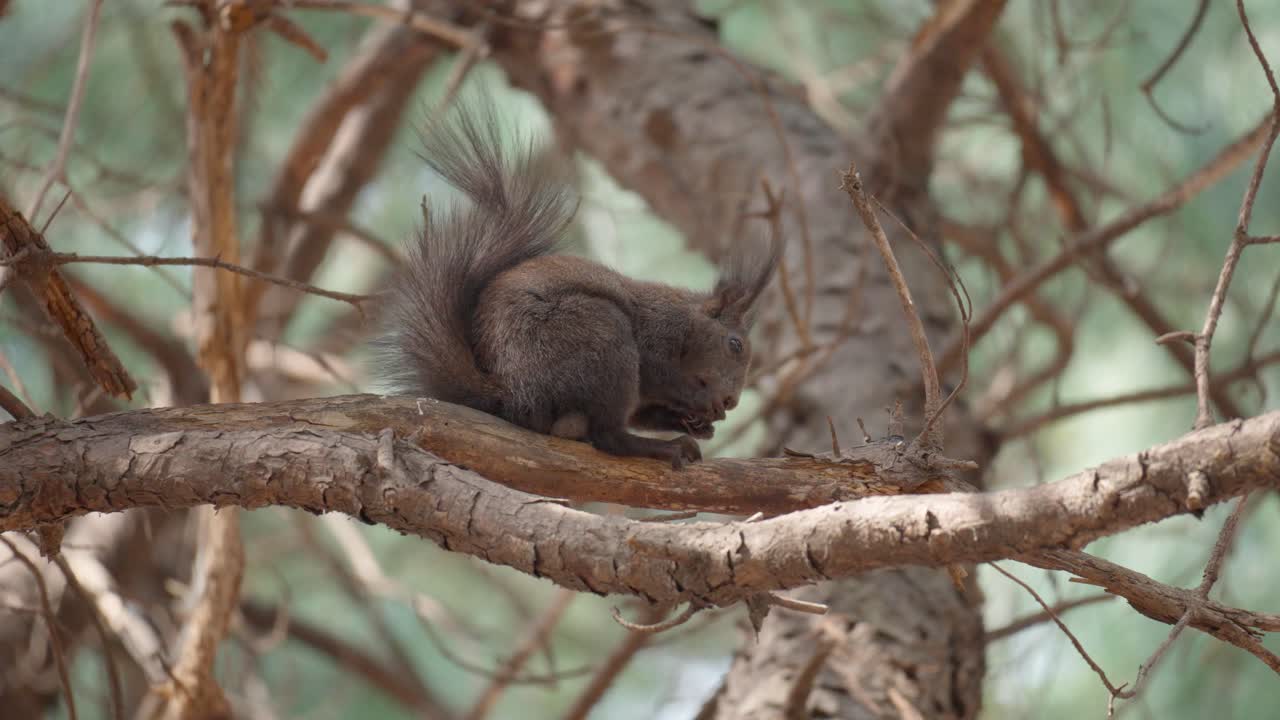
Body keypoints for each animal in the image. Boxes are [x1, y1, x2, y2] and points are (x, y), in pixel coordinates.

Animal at [376, 102, 779, 468]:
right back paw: (665, 448)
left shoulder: (647, 397)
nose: (730, 403)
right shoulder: (657, 338)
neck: (687, 324)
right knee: (608, 436)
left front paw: (697, 423)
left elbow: (646, 413)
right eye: (734, 344)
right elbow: (658, 372)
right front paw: (698, 410)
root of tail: (514, 397)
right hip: (601, 336)